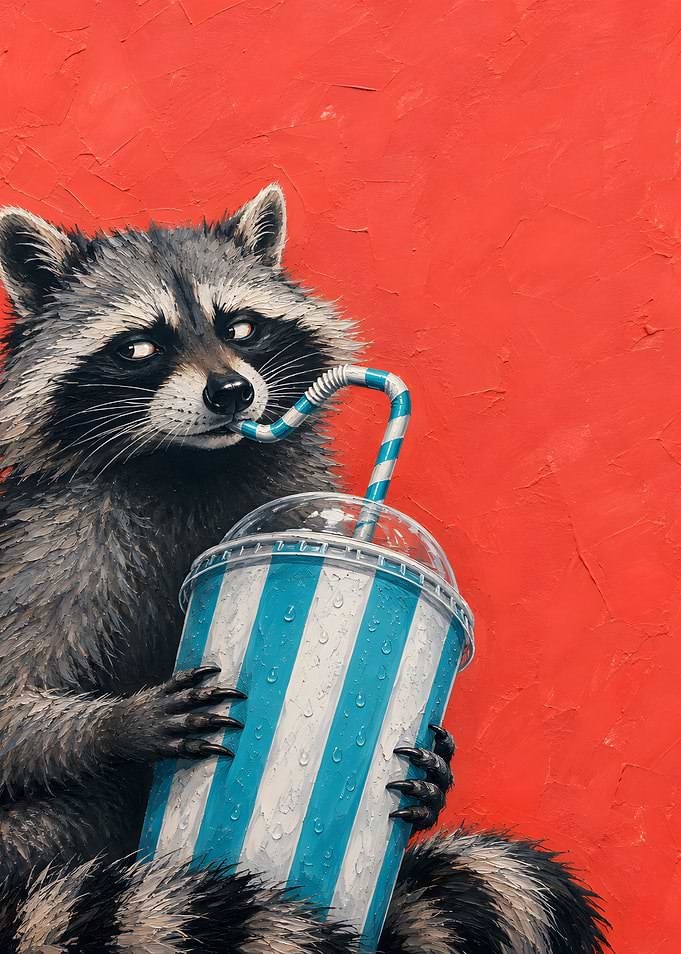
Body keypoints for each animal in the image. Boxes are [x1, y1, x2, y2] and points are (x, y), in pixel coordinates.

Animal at [0, 186, 609, 952]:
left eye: (242, 327)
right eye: (139, 346)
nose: (231, 393)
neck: (190, 462)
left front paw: (438, 771)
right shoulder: (53, 546)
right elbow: (12, 712)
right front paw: (121, 722)